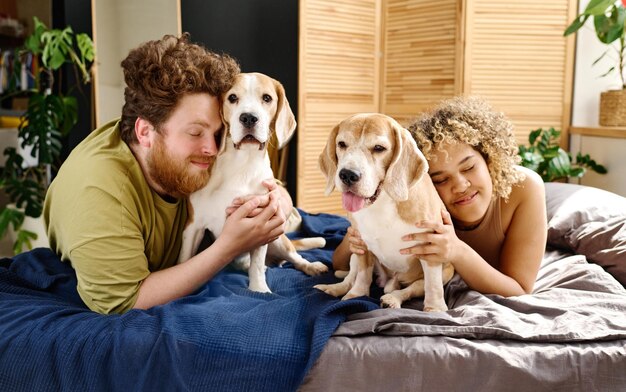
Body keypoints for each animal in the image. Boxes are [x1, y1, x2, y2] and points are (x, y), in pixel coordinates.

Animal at [312, 112, 454, 310]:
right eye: (342, 144)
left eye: (379, 148)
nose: (347, 174)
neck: (381, 201)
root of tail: (390, 281)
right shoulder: (361, 244)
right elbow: (362, 275)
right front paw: (355, 295)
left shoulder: (431, 249)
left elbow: (432, 286)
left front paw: (435, 309)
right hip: (354, 254)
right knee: (350, 276)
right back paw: (335, 288)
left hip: (447, 271)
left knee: (412, 288)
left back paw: (393, 298)